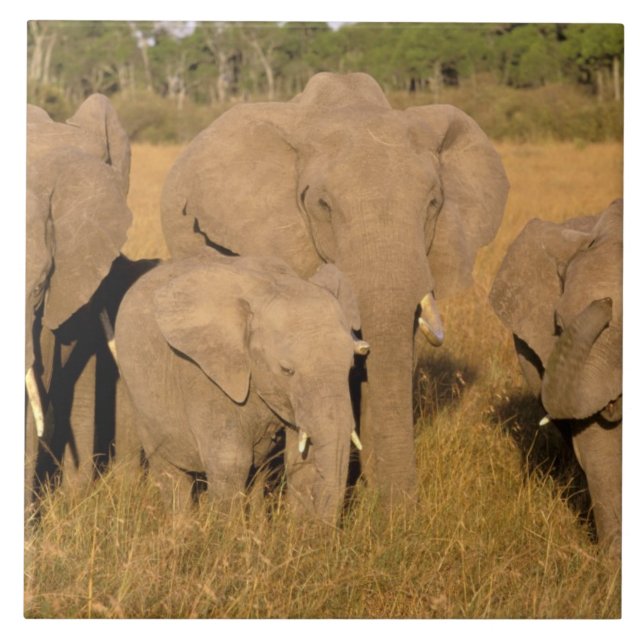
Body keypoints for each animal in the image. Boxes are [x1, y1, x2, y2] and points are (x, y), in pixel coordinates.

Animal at [113, 254, 370, 521]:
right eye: (286, 370)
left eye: (351, 367)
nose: (325, 527)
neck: (269, 287)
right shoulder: (203, 375)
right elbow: (231, 461)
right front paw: (226, 530)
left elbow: (302, 459)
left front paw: (300, 528)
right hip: (137, 393)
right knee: (169, 472)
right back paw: (181, 526)